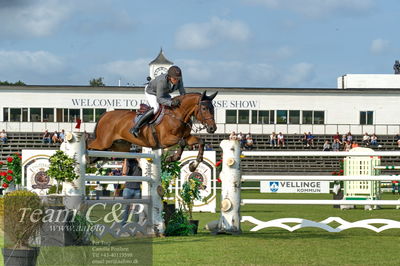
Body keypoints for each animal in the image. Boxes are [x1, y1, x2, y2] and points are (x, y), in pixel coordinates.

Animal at [88, 90, 217, 171]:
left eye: (213, 108)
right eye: (204, 108)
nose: (212, 128)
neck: (177, 115)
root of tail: (105, 115)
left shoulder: (187, 137)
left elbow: (200, 142)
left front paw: (193, 166)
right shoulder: (165, 140)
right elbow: (181, 142)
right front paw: (172, 158)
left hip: (119, 146)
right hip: (103, 142)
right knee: (90, 145)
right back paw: (87, 159)